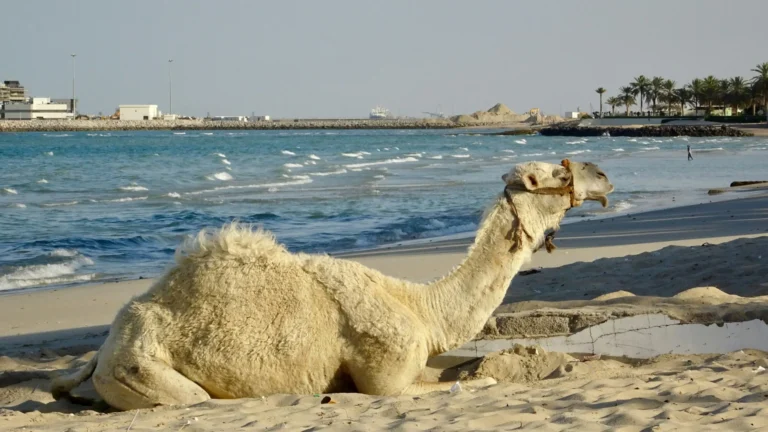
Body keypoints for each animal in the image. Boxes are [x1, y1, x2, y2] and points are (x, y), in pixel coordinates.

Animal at [51, 159, 613, 410]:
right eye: (560, 174)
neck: (420, 308)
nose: (603, 176)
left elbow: (471, 368)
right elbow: (470, 382)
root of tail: (106, 347)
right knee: (192, 399)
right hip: (140, 369)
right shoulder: (386, 377)